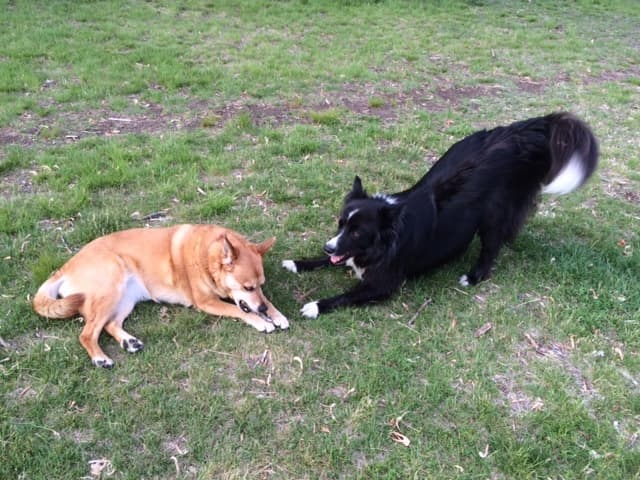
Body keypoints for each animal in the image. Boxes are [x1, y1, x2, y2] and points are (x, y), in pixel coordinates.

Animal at [31, 225, 288, 368]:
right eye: (247, 287)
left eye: (260, 285)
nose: (262, 311)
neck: (207, 255)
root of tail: (65, 267)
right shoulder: (206, 303)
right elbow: (237, 309)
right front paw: (261, 321)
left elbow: (266, 301)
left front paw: (276, 314)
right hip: (111, 287)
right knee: (87, 333)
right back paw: (100, 358)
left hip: (125, 299)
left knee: (110, 325)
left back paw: (129, 341)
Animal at [282, 112, 596, 318]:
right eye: (340, 224)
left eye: (358, 232)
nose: (328, 245)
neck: (385, 240)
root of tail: (524, 131)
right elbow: (327, 260)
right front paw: (297, 263)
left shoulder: (384, 284)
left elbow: (345, 295)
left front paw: (315, 306)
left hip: (493, 215)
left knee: (492, 246)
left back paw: (474, 276)